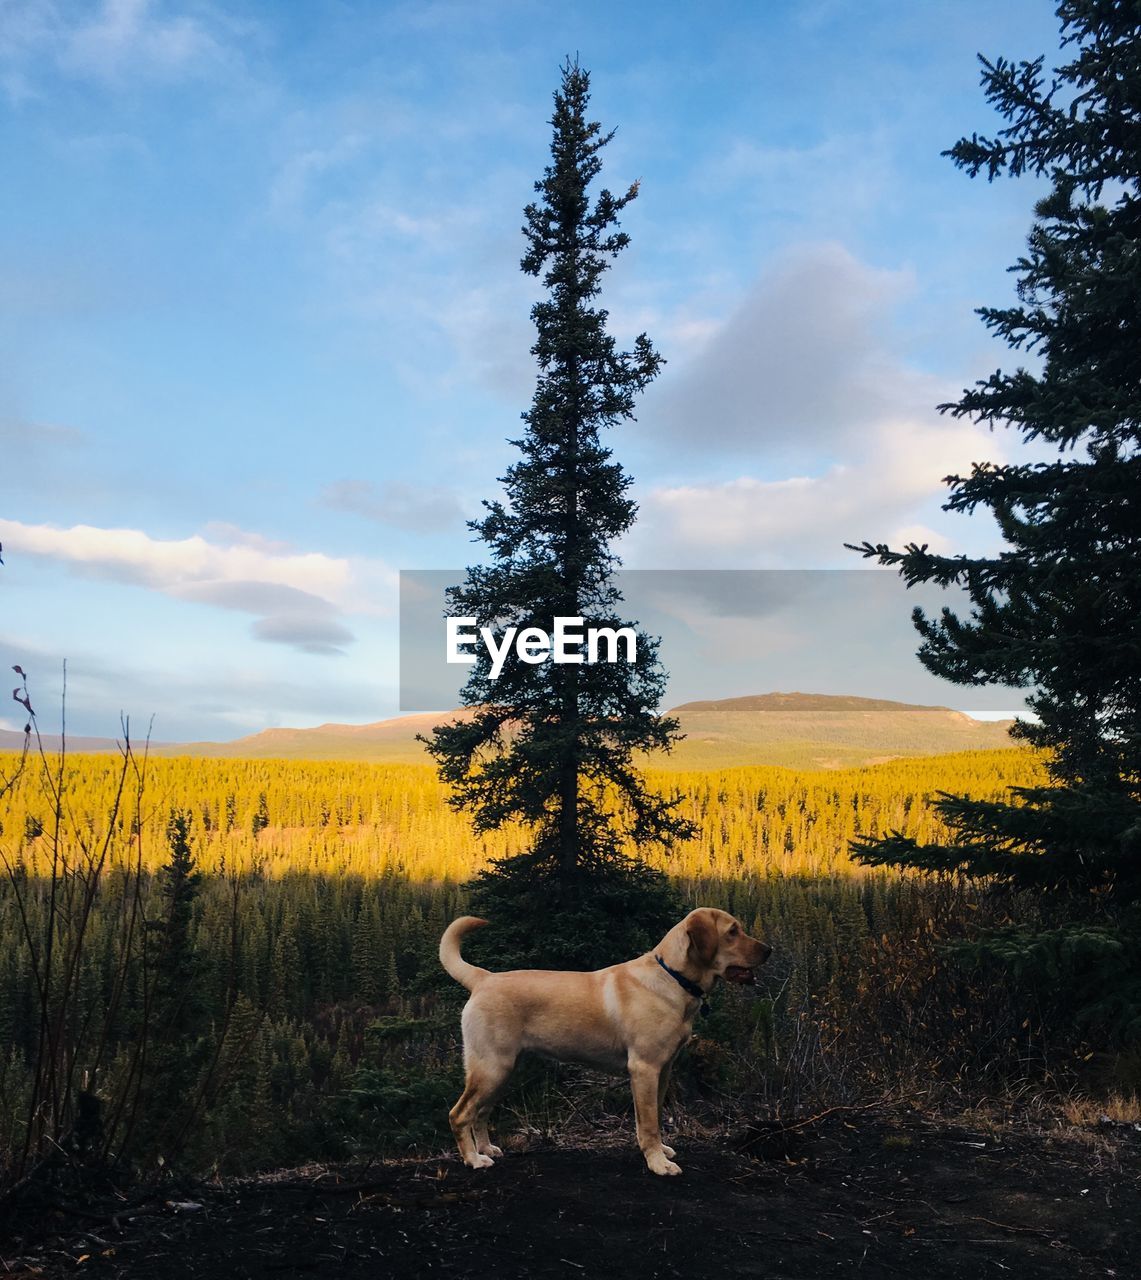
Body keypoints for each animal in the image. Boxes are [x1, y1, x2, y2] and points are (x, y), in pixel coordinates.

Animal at [440, 906, 773, 1172]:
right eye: (732, 932)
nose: (769, 949)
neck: (673, 978)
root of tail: (484, 978)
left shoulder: (663, 1069)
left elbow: (652, 1117)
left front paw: (659, 1152)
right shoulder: (644, 1068)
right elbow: (649, 1123)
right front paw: (658, 1164)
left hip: (503, 1070)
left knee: (480, 1112)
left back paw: (486, 1148)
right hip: (491, 1068)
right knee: (459, 1114)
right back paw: (474, 1159)